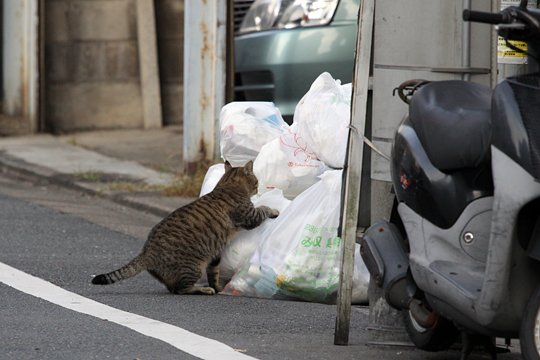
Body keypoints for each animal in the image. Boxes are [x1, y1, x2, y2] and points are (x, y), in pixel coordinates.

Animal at [91, 161, 278, 296]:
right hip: (193, 267)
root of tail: (146, 253)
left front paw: (217, 286)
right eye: (256, 180)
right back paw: (203, 289)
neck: (227, 184)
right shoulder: (249, 216)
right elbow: (263, 209)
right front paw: (274, 210)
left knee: (174, 288)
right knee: (182, 289)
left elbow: (214, 272)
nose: (258, 187)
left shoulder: (215, 254)